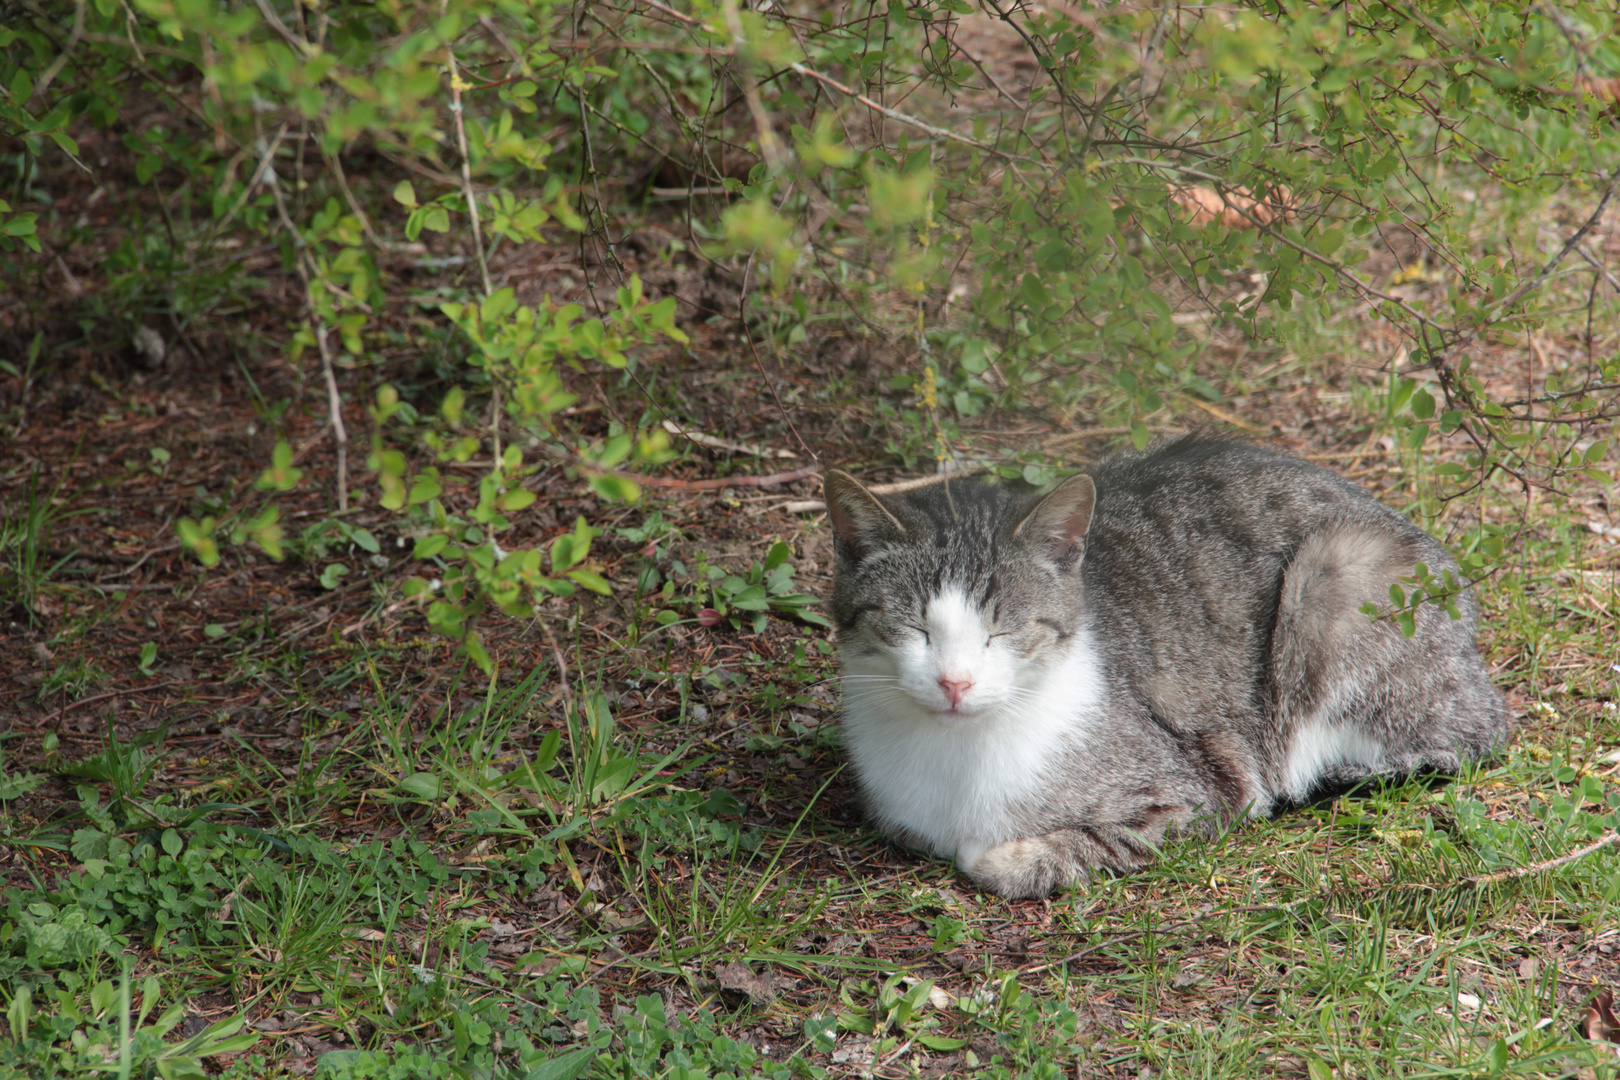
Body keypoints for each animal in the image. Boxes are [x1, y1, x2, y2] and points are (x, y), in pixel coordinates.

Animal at [829, 433, 1509, 900]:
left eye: (1004, 630)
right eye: (914, 628)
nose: (955, 682)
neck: (955, 757)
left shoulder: (1203, 791)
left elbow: (1047, 849)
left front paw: (999, 855)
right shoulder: (896, 815)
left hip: (1336, 574)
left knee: (1461, 737)